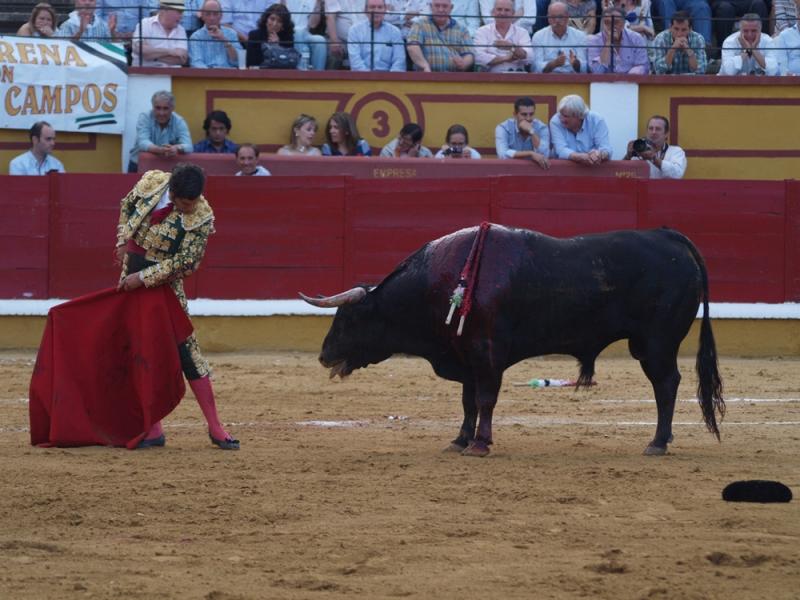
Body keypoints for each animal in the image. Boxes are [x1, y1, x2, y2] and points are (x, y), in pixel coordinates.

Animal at [302, 224, 724, 454]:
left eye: (350, 317)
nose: (324, 356)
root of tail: (669, 236)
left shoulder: (487, 353)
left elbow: (485, 399)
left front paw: (480, 444)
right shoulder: (466, 356)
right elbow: (468, 401)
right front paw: (460, 440)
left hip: (655, 343)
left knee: (666, 384)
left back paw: (657, 442)